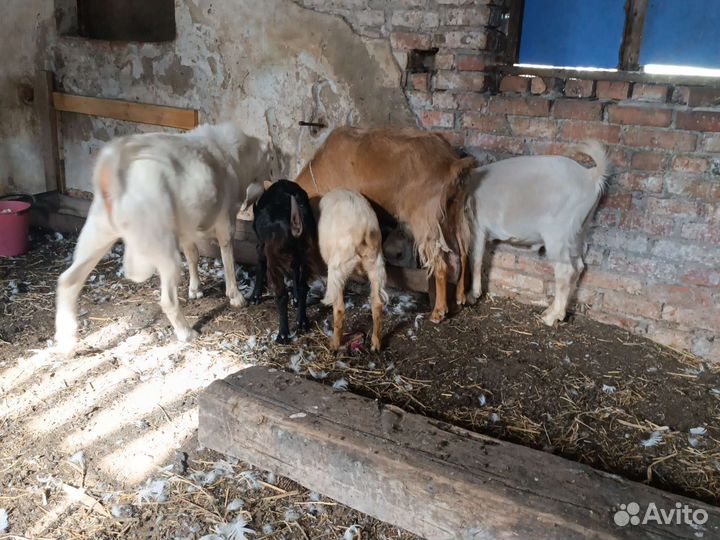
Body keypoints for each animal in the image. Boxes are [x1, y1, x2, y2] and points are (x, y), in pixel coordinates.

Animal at [54, 123, 276, 355]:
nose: (272, 175)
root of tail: (116, 167)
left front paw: (195, 289)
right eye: (271, 158)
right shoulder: (225, 220)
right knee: (167, 300)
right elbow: (227, 255)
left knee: (69, 280)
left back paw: (66, 342)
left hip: (97, 231)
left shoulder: (187, 228)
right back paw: (187, 333)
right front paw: (235, 296)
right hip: (162, 249)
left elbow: (193, 255)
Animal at [250, 179, 320, 344]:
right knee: (303, 287)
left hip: (274, 265)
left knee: (281, 296)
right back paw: (302, 323)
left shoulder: (262, 248)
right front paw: (295, 299)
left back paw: (282, 335)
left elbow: (260, 264)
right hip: (307, 255)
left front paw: (255, 296)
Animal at [296, 126, 476, 323]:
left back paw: (438, 310)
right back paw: (460, 297)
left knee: (441, 265)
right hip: (455, 215)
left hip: (426, 222)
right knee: (463, 253)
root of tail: (451, 162)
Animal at [318, 189, 388, 351]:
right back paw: (376, 344)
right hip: (376, 265)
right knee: (377, 304)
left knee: (339, 309)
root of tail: (363, 229)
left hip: (337, 269)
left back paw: (334, 344)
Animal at [464, 140, 608, 326]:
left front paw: (472, 295)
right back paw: (556, 310)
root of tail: (590, 176)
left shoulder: (477, 226)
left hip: (557, 234)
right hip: (578, 232)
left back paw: (551, 317)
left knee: (565, 270)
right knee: (578, 267)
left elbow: (475, 259)